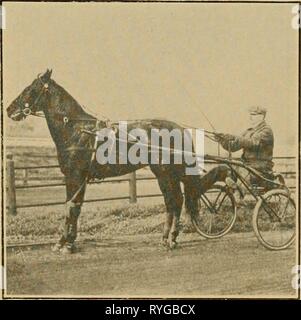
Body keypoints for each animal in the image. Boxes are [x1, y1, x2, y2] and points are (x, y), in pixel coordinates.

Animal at [7, 69, 227, 252]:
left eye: (30, 89)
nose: (9, 109)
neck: (78, 130)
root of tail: (180, 129)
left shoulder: (75, 176)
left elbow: (71, 207)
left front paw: (65, 243)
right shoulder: (78, 177)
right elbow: (74, 206)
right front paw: (67, 241)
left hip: (165, 173)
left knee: (174, 202)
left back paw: (170, 239)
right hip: (167, 173)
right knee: (174, 202)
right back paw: (168, 238)